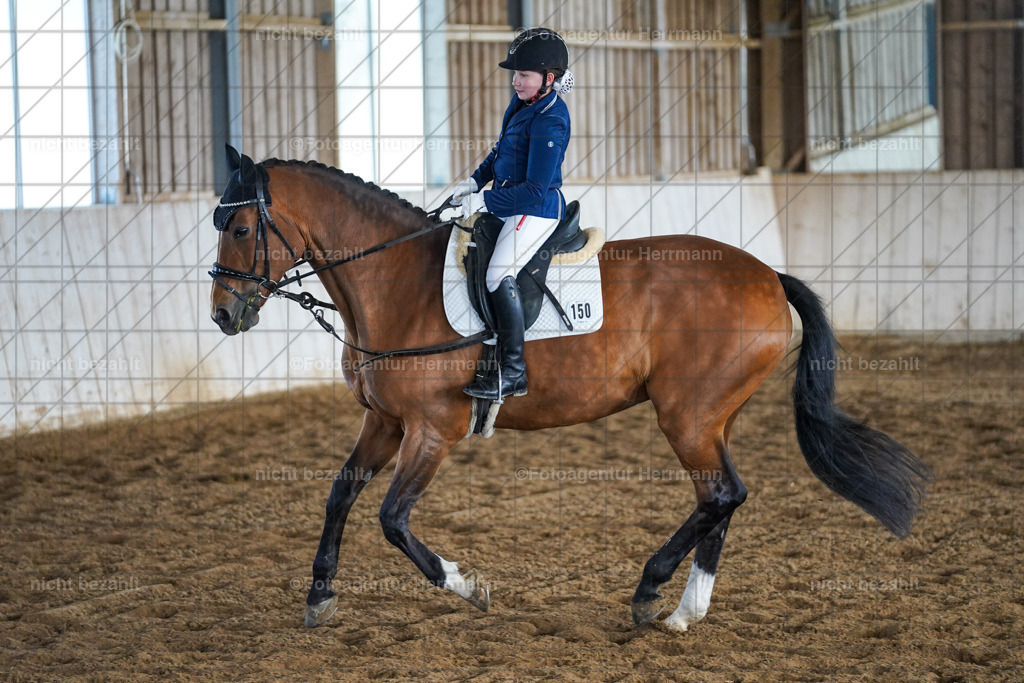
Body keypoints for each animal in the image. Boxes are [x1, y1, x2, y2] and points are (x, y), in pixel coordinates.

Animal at [208, 147, 932, 631]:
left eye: (240, 228)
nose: (221, 315)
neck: (395, 283)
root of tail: (768, 275)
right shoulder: (384, 421)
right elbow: (339, 495)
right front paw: (318, 595)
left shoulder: (432, 428)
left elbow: (391, 518)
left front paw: (468, 587)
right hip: (710, 418)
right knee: (721, 498)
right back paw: (683, 610)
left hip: (688, 417)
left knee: (723, 494)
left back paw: (649, 593)